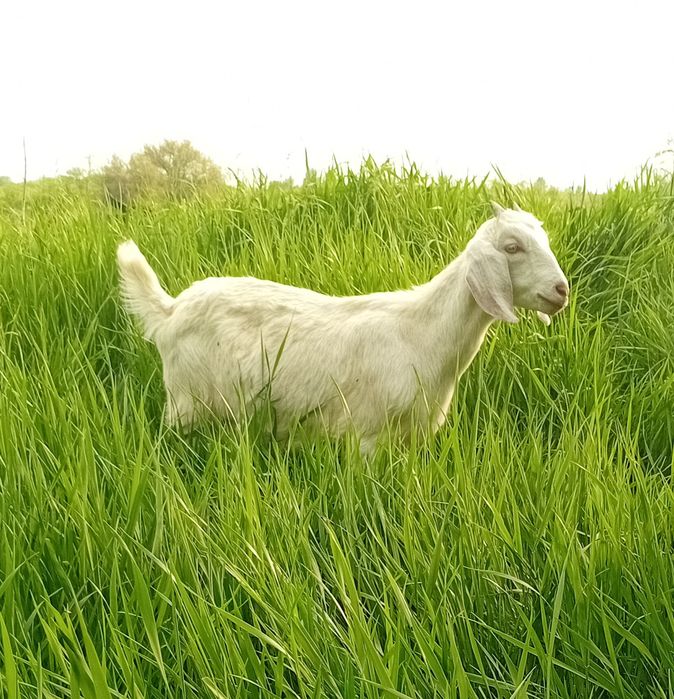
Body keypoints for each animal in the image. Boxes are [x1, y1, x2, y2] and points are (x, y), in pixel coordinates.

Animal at [117, 203, 569, 454]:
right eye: (512, 247)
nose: (561, 290)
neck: (421, 333)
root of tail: (170, 310)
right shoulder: (366, 433)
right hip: (187, 402)